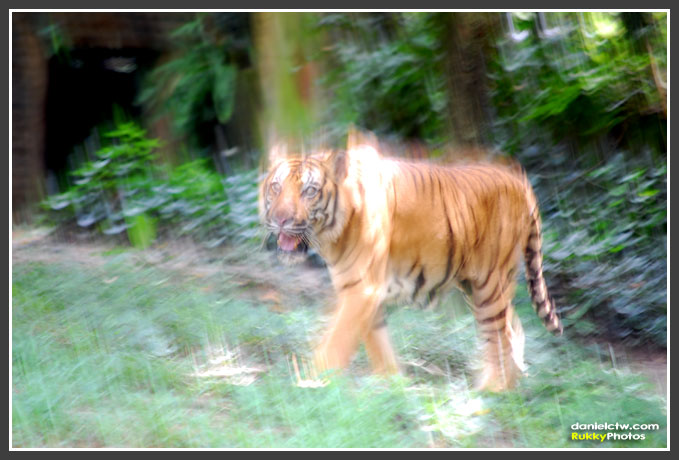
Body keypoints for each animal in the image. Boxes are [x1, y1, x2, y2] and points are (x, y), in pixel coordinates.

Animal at [259, 136, 562, 392]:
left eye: (309, 191)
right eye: (276, 187)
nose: (281, 219)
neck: (331, 236)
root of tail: (516, 177)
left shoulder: (362, 289)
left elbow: (336, 342)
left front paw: (311, 384)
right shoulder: (362, 292)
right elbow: (378, 343)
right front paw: (390, 384)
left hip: (489, 283)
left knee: (498, 335)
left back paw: (494, 389)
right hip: (478, 285)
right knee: (512, 326)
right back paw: (510, 382)